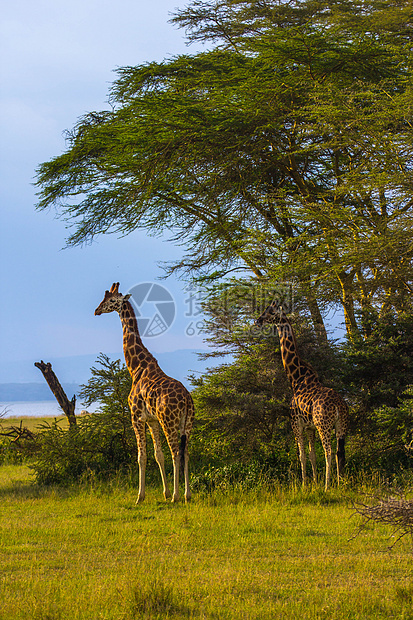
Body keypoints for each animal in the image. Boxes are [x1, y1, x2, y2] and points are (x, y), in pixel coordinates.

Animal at [94, 284, 194, 502]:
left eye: (112, 300)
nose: (96, 310)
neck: (136, 367)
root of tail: (186, 399)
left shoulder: (136, 417)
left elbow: (142, 457)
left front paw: (140, 496)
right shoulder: (152, 420)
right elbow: (158, 455)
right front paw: (164, 492)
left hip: (169, 421)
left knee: (176, 452)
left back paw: (176, 496)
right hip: (187, 423)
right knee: (186, 452)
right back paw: (187, 494)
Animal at [254, 302, 348, 492]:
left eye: (271, 312)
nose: (258, 320)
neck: (296, 379)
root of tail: (338, 405)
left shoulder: (296, 424)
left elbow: (302, 455)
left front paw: (305, 485)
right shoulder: (310, 427)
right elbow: (312, 455)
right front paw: (314, 483)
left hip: (324, 425)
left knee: (328, 452)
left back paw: (328, 487)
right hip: (341, 425)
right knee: (339, 452)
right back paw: (340, 484)